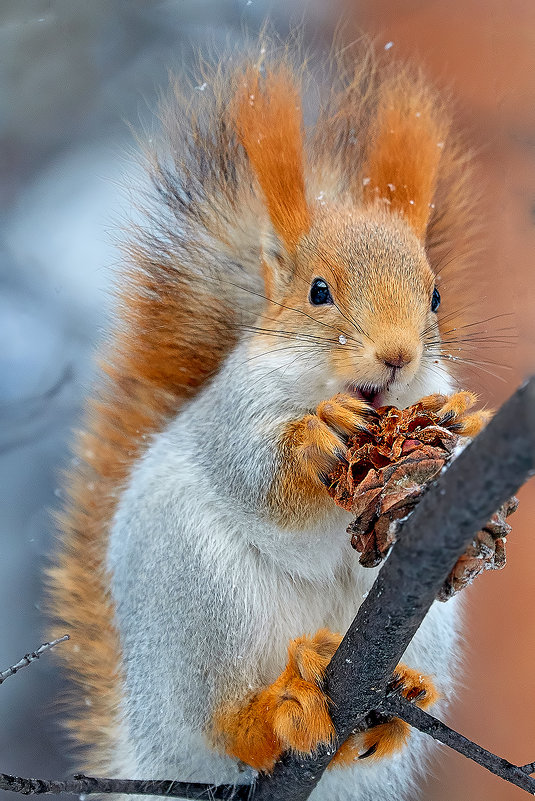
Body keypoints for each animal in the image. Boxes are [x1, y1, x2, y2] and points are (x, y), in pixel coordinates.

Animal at [48, 36, 492, 800]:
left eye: (434, 296)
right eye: (318, 291)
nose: (398, 355)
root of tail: (152, 750)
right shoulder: (233, 412)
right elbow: (256, 476)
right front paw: (315, 439)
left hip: (428, 631)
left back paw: (392, 709)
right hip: (202, 607)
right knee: (222, 726)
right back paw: (275, 709)